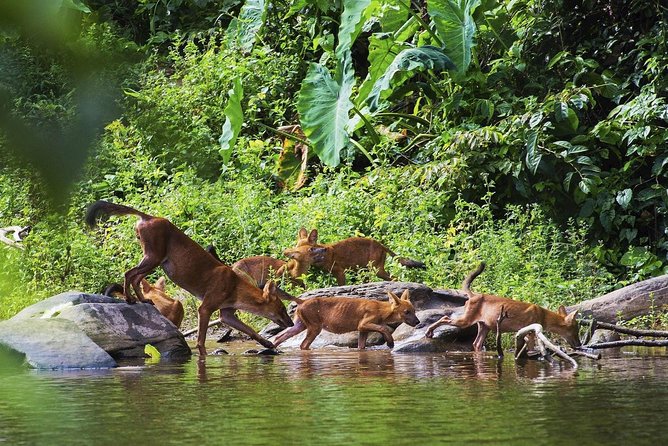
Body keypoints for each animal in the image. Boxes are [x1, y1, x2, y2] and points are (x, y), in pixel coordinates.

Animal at [84, 201, 292, 356]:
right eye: (282, 308)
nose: (291, 323)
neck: (235, 287)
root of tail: (148, 216)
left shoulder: (226, 314)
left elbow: (250, 330)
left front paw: (267, 344)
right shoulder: (205, 308)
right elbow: (201, 340)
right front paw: (203, 357)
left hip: (155, 261)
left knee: (135, 277)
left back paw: (144, 300)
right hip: (154, 258)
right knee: (129, 273)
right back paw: (129, 299)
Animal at [270, 290, 418, 350]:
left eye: (414, 311)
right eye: (406, 312)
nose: (418, 322)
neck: (382, 310)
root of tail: (303, 300)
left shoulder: (362, 330)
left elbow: (361, 346)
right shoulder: (363, 324)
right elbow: (383, 328)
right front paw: (390, 342)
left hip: (300, 326)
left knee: (279, 337)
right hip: (314, 328)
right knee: (303, 345)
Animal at [282, 226, 422, 286]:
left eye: (308, 249)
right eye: (296, 247)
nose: (289, 253)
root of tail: (382, 245)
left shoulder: (340, 272)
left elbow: (341, 286)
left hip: (376, 270)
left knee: (395, 278)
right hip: (365, 271)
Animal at [426, 262, 580, 352]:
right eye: (575, 330)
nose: (579, 345)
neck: (544, 316)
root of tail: (474, 295)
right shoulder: (530, 332)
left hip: (484, 326)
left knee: (476, 344)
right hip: (466, 321)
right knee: (445, 317)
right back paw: (429, 332)